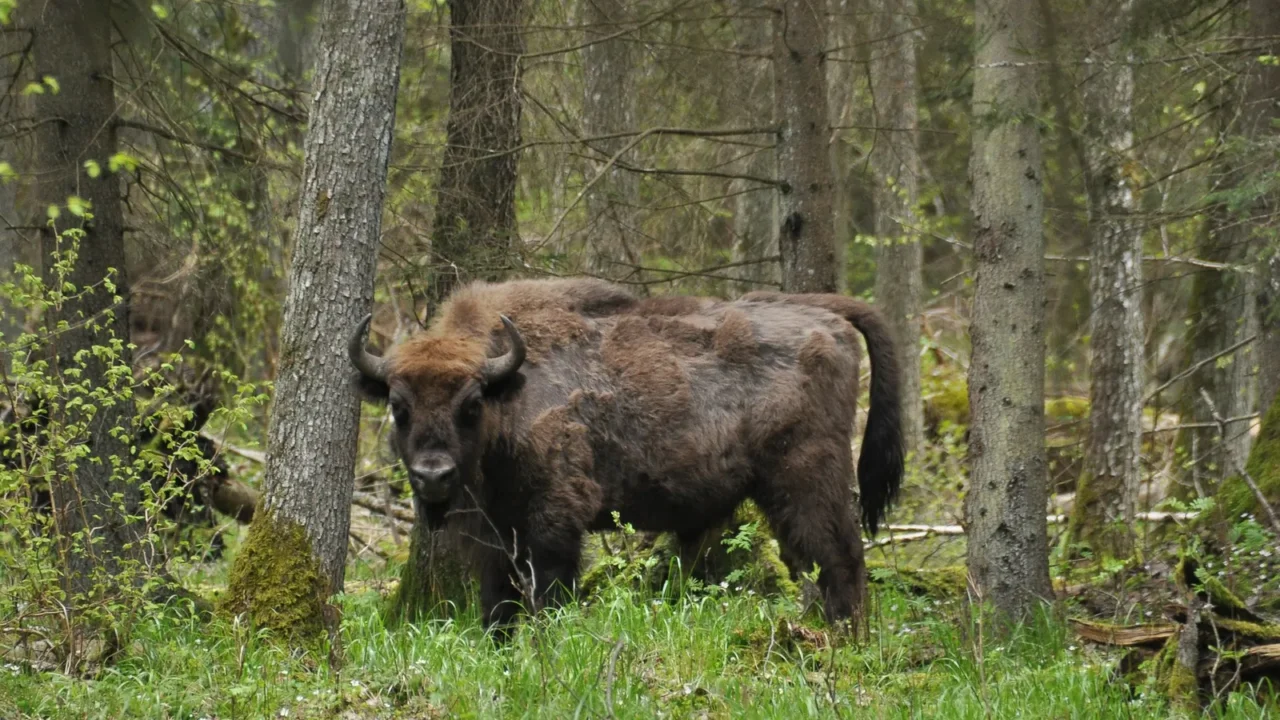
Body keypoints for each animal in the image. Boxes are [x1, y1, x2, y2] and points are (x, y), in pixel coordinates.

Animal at [350, 279, 903, 629]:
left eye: (470, 404)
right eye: (398, 406)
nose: (433, 475)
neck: (509, 391)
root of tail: (825, 317)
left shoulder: (555, 519)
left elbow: (549, 592)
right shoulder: (496, 535)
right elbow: (497, 602)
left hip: (807, 477)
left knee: (840, 558)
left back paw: (845, 643)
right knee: (809, 562)